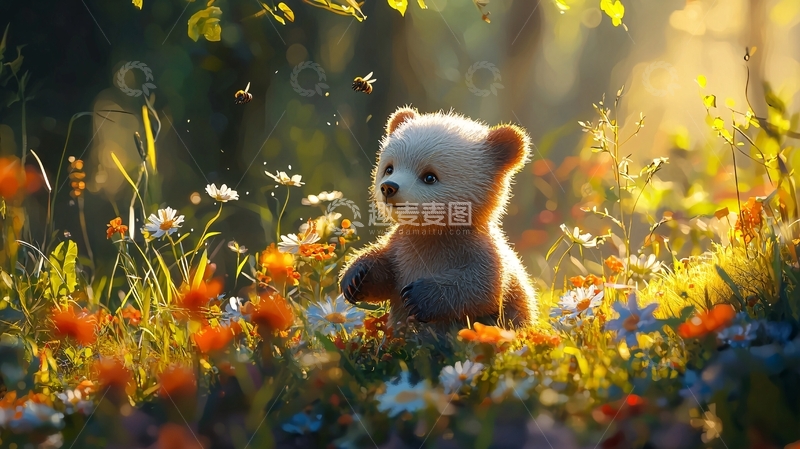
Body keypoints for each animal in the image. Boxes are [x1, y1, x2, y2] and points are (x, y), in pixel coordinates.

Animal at [339, 107, 538, 330]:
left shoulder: (477, 249)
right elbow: (384, 269)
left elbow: (484, 288)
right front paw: (355, 278)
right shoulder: (401, 248)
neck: (432, 231)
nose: (388, 188)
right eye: (389, 168)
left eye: (429, 176)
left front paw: (417, 297)